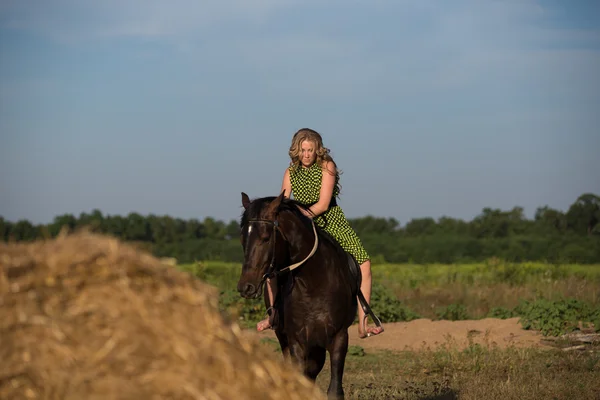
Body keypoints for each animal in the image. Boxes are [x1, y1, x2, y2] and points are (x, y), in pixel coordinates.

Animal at [236, 192, 360, 398]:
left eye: (266, 237)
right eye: (242, 239)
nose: (245, 287)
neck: (313, 283)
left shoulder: (339, 337)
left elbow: (334, 390)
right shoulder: (296, 341)